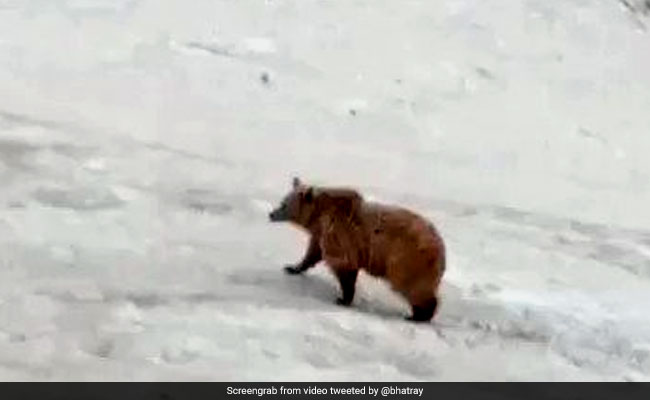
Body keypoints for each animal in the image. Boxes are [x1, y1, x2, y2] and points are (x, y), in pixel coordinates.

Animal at [269, 177, 446, 322]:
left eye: (284, 204)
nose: (271, 214)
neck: (320, 217)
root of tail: (441, 248)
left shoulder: (340, 234)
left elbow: (343, 264)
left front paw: (342, 299)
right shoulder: (321, 234)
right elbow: (313, 253)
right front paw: (293, 267)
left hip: (405, 259)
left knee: (412, 286)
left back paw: (418, 315)